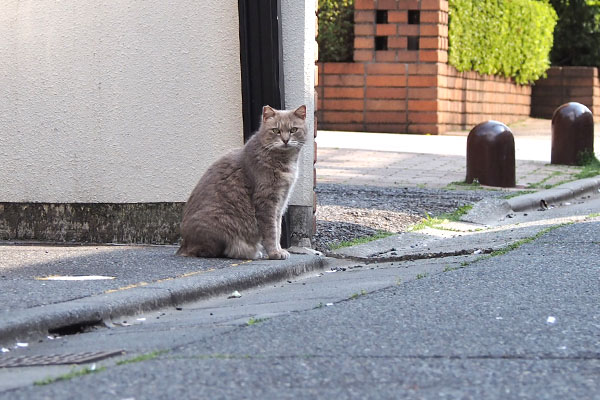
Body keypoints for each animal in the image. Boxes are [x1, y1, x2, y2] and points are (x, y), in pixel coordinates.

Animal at [176, 104, 308, 260]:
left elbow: (278, 228)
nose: (285, 140)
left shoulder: (281, 202)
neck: (284, 162)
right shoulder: (266, 201)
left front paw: (279, 249)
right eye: (276, 130)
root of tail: (184, 244)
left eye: (293, 130)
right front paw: (275, 253)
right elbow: (271, 231)